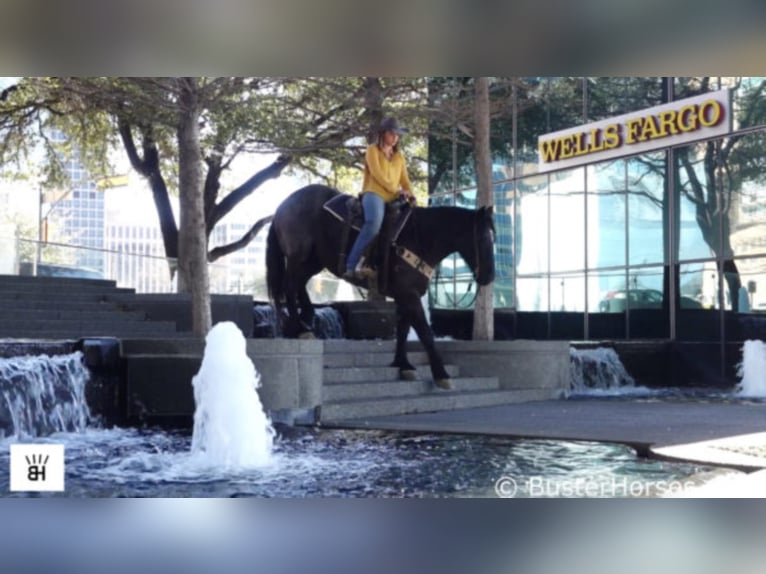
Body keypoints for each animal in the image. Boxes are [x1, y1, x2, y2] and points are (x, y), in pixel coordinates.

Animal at [268, 184, 498, 392]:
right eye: (482, 238)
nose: (489, 276)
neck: (421, 238)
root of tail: (284, 205)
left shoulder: (405, 295)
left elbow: (403, 328)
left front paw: (403, 365)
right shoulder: (409, 294)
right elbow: (424, 332)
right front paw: (441, 374)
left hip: (313, 260)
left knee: (297, 285)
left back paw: (304, 321)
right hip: (299, 257)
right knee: (289, 287)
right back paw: (297, 329)